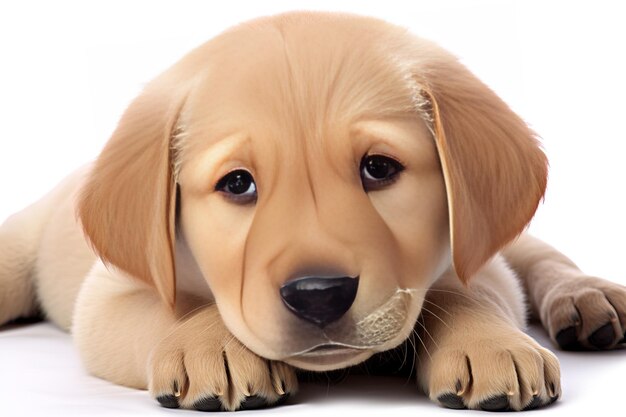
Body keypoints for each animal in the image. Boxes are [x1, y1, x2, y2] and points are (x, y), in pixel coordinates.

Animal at [1, 9, 624, 410]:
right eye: (237, 183)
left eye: (378, 168)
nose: (319, 294)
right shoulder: (109, 294)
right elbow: (166, 310)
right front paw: (212, 345)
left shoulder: (477, 258)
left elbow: (466, 292)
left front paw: (489, 344)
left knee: (543, 257)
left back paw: (587, 299)